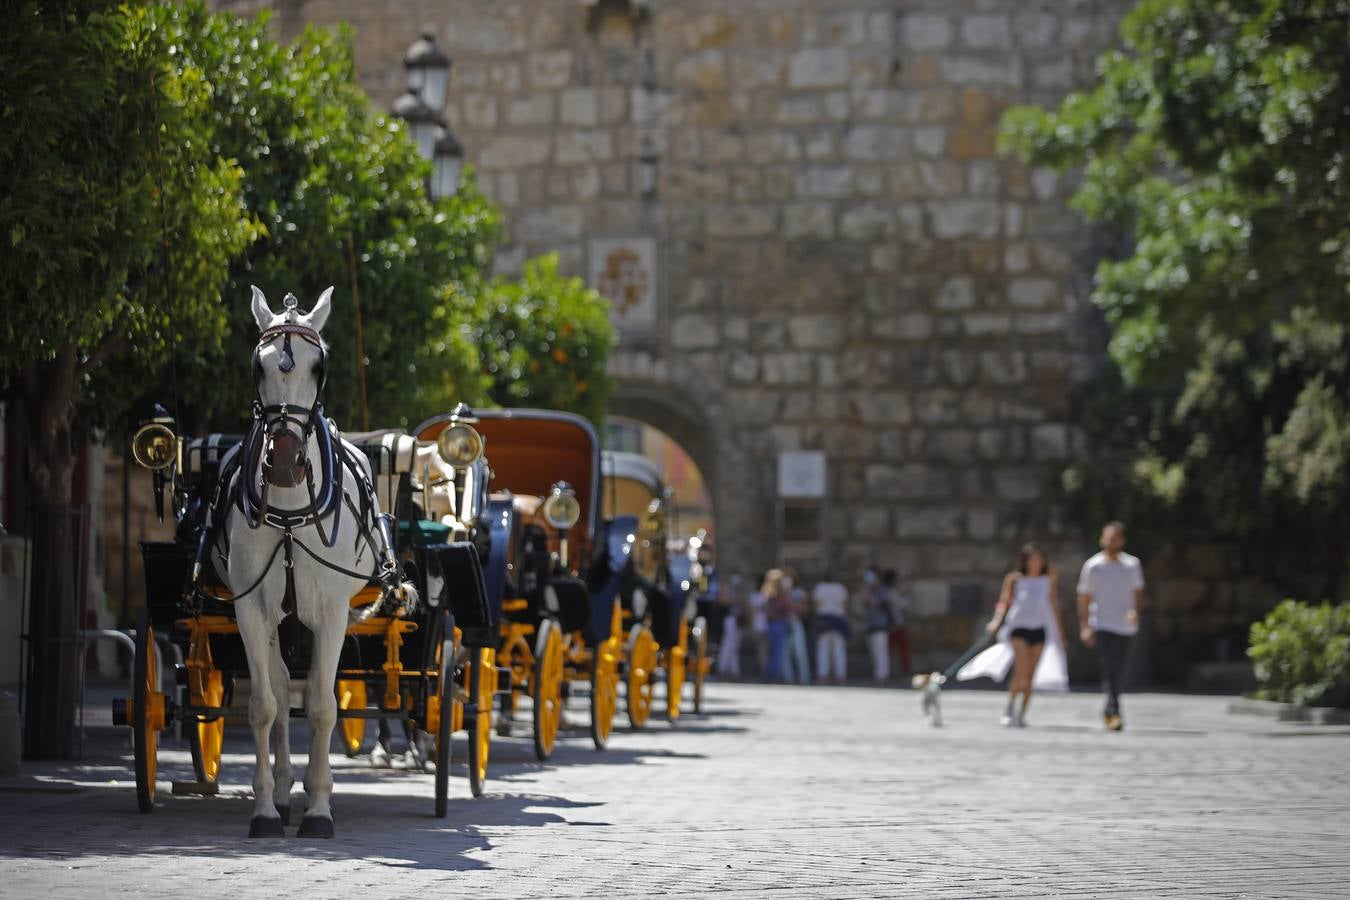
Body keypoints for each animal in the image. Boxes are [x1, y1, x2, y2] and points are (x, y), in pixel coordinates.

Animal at [211, 287, 405, 836]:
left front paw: (319, 807)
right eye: (258, 365)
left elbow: (321, 705)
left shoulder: (332, 613)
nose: (282, 461)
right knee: (279, 690)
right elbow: (264, 706)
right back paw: (280, 794)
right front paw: (264, 809)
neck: (290, 515)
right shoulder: (251, 610)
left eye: (318, 367)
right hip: (278, 617)